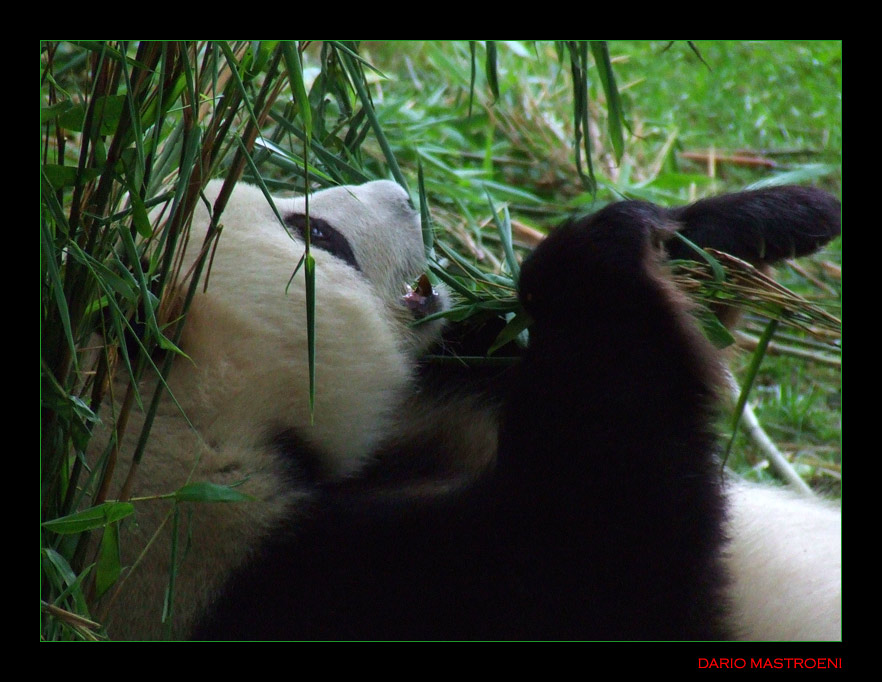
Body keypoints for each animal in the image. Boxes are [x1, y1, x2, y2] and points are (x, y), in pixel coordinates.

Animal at [88, 179, 841, 640]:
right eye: (317, 234)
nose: (400, 194)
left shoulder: (429, 413)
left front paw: (758, 220)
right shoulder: (288, 579)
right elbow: (611, 548)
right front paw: (594, 257)